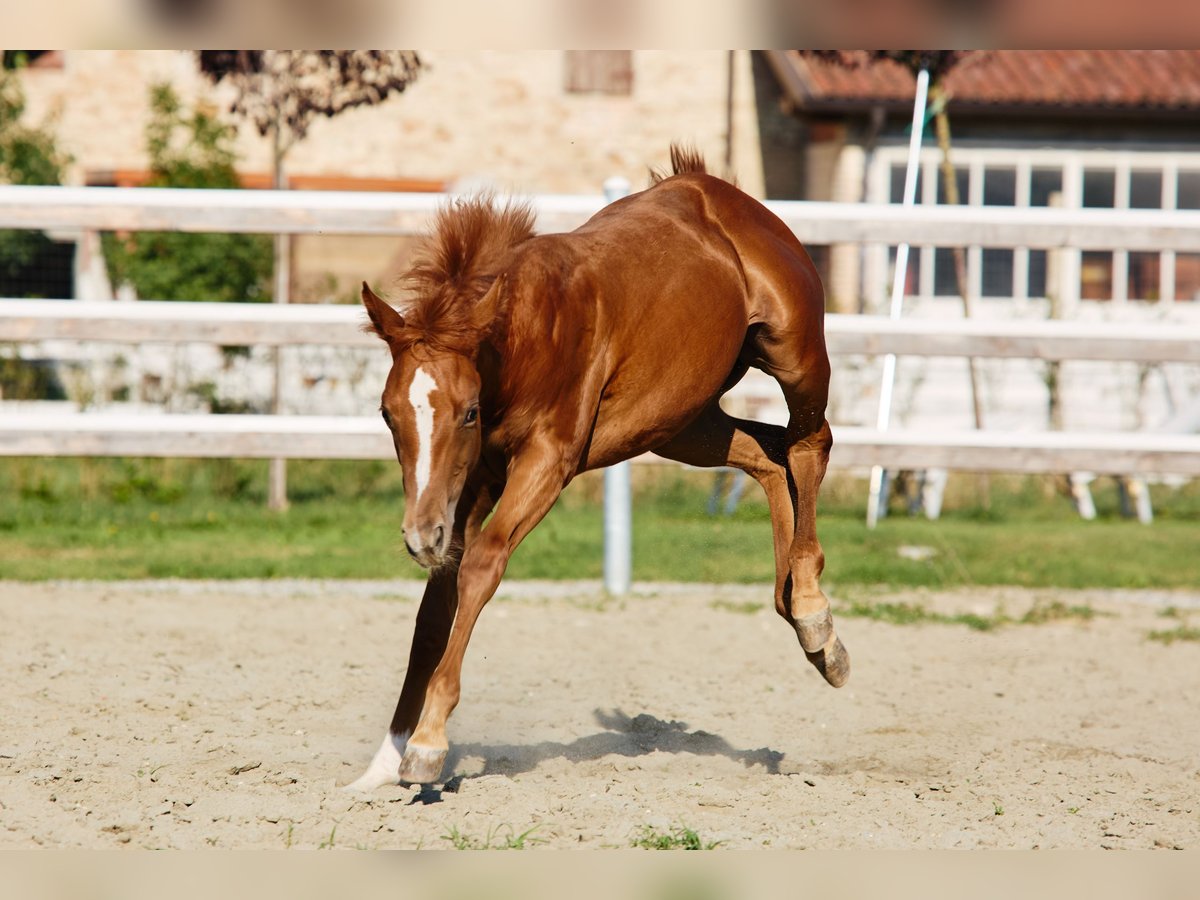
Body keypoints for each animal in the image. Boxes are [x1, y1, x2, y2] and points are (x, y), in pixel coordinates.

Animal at [347, 145, 849, 790]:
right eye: (387, 413)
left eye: (468, 412)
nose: (418, 535)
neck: (526, 334)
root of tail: (726, 196)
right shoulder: (472, 481)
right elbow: (435, 607)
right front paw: (384, 762)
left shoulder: (546, 462)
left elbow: (481, 565)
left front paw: (430, 741)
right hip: (679, 423)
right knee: (767, 454)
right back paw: (798, 610)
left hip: (796, 357)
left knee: (809, 444)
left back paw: (812, 613)